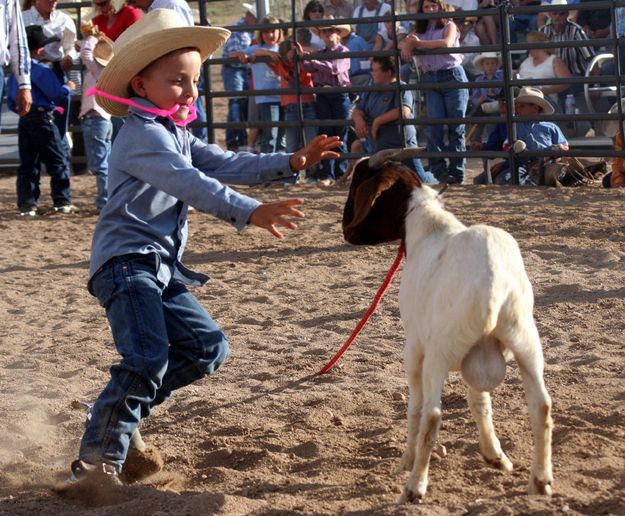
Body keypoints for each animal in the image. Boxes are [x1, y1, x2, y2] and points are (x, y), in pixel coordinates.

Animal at [344, 149, 552, 504]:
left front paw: (406, 461)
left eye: (357, 183)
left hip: (439, 353)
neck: (428, 228)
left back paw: (415, 486)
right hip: (525, 342)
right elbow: (480, 402)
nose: (346, 232)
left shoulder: (414, 348)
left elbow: (415, 407)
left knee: (432, 414)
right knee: (541, 406)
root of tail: (491, 283)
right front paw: (494, 456)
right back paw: (540, 481)